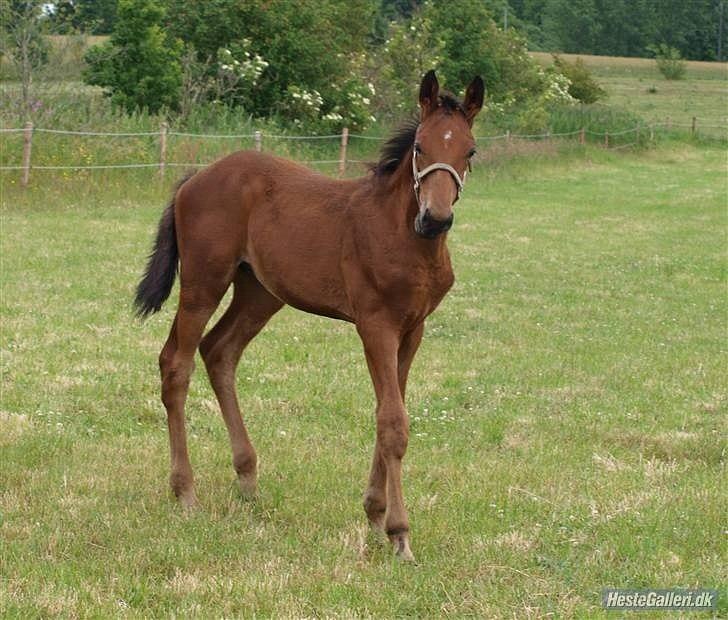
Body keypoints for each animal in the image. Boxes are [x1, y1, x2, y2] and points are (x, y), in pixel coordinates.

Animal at [136, 70, 484, 560]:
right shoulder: (375, 324)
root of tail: (194, 178)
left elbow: (390, 410)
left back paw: (248, 479)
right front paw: (399, 534)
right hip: (204, 283)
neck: (403, 236)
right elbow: (393, 422)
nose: (435, 219)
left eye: (469, 151)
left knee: (219, 351)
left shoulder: (413, 328)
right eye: (420, 146)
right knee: (176, 363)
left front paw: (374, 516)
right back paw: (185, 491)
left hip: (259, 291)